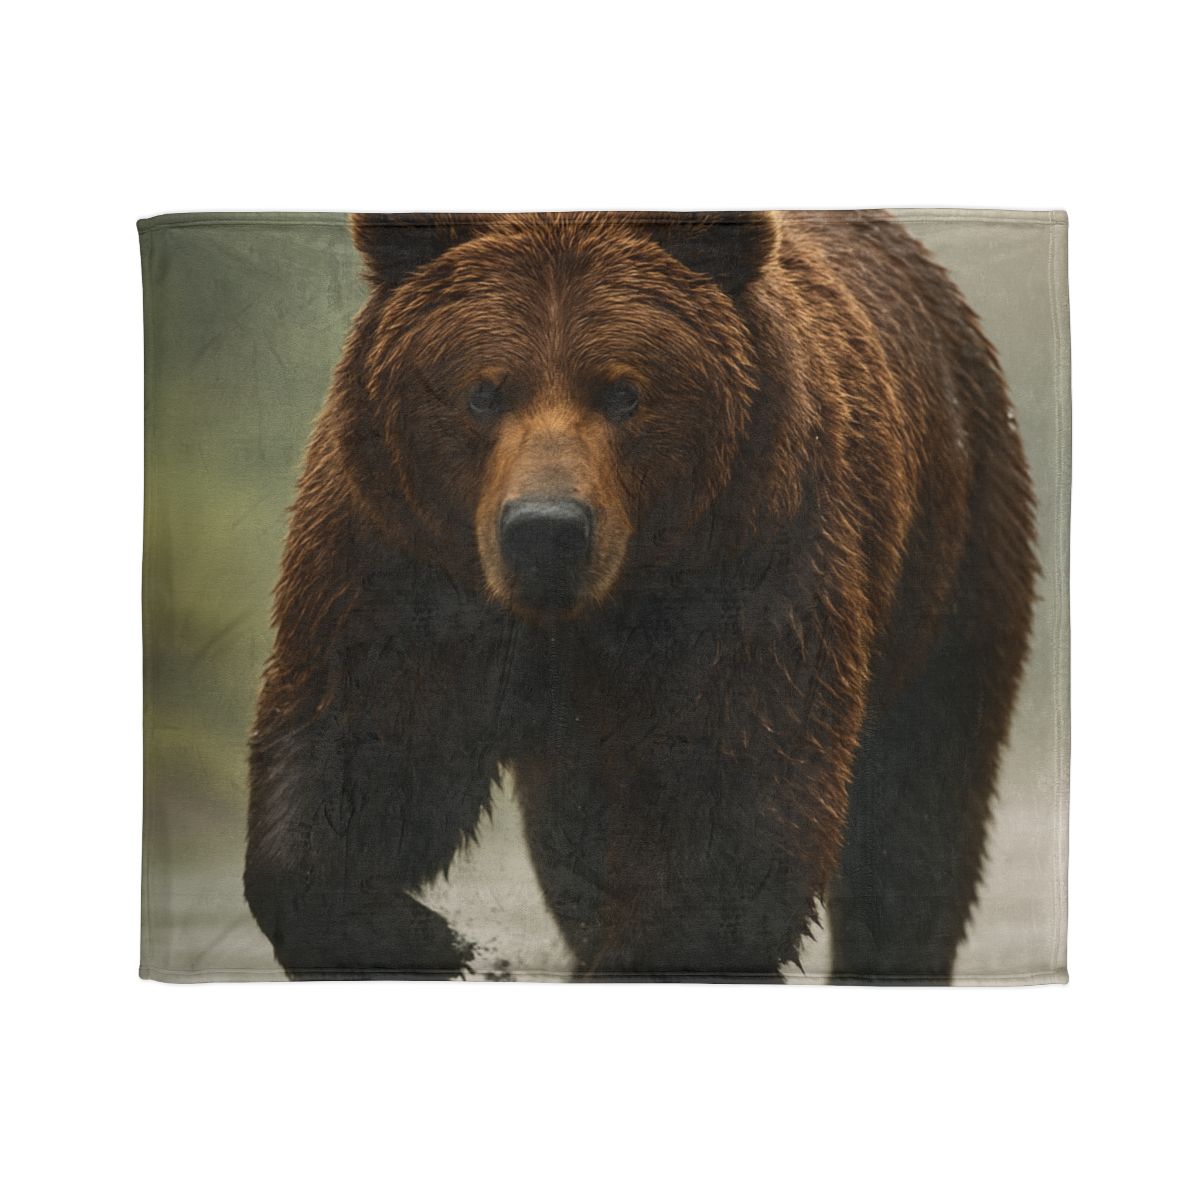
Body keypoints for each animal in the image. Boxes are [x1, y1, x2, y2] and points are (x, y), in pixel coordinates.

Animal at [244, 211, 1037, 983]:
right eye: (483, 391)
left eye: (623, 392)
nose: (547, 530)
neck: (585, 613)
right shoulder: (398, 551)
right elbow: (366, 735)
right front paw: (422, 933)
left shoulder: (755, 555)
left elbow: (736, 786)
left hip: (952, 554)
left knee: (917, 804)